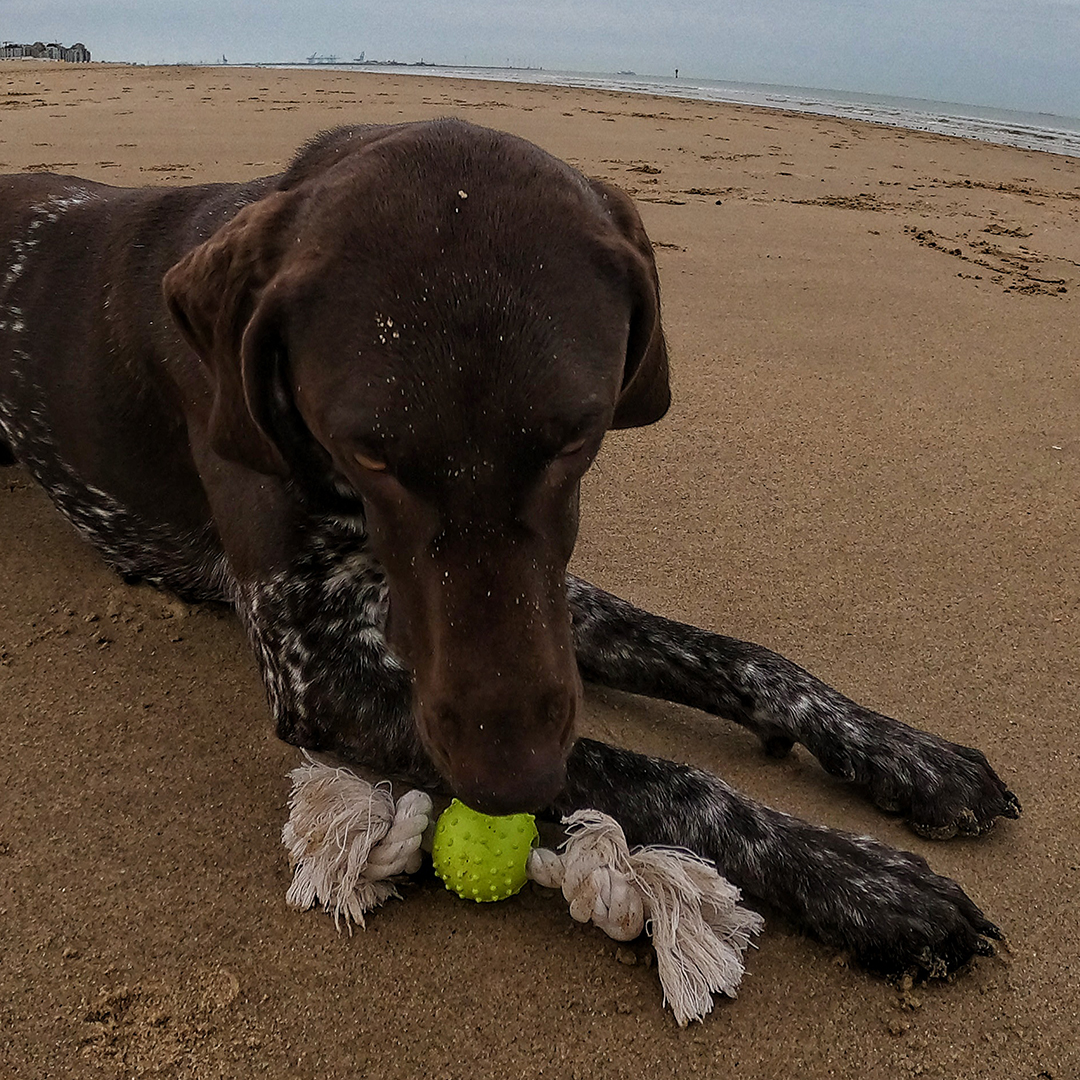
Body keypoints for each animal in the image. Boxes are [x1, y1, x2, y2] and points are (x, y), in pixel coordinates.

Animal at [0, 118, 1019, 980]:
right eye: (370, 450)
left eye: (578, 436)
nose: (512, 781)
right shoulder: (327, 675)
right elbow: (661, 775)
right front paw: (856, 878)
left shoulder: (541, 603)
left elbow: (740, 655)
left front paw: (904, 753)